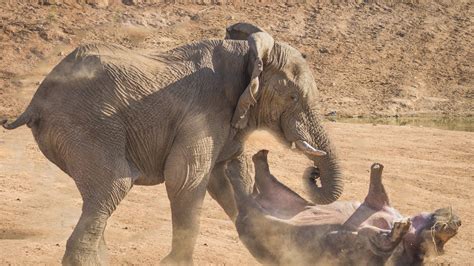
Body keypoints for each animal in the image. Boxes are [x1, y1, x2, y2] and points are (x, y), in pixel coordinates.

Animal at [0, 22, 340, 264]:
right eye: (293, 97)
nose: (314, 173)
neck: (247, 53)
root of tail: (36, 101)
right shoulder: (203, 111)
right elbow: (186, 179)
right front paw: (175, 263)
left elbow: (231, 176)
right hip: (87, 125)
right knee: (114, 186)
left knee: (99, 195)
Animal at [226, 151, 462, 264]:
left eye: (442, 241)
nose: (457, 222)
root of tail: (243, 213)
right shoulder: (376, 202)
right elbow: (377, 189)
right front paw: (377, 167)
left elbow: (378, 238)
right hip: (279, 196)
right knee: (253, 180)